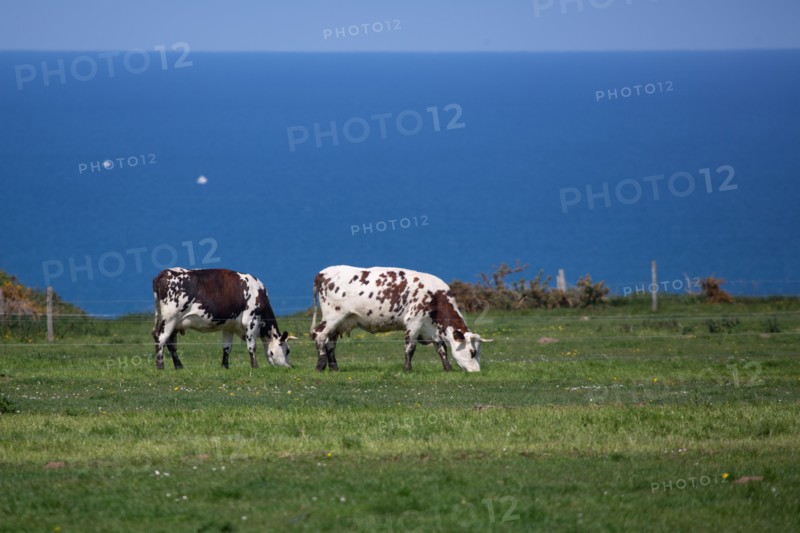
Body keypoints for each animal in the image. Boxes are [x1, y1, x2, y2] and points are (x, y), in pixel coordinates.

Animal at [152, 268, 296, 370]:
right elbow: (252, 346)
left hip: (173, 322)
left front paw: (225, 366)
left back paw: (179, 366)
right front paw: (255, 366)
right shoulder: (251, 320)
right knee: (160, 338)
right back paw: (160, 366)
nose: (289, 366)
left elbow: (227, 348)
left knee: (170, 343)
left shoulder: (229, 325)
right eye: (288, 350)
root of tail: (163, 274)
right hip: (170, 318)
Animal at [310, 265, 491, 372]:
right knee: (320, 335)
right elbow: (410, 348)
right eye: (472, 352)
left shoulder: (432, 328)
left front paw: (448, 368)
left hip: (341, 321)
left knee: (331, 342)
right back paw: (320, 366)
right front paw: (407, 369)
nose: (477, 371)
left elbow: (442, 349)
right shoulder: (414, 322)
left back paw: (334, 367)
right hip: (333, 316)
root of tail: (323, 272)